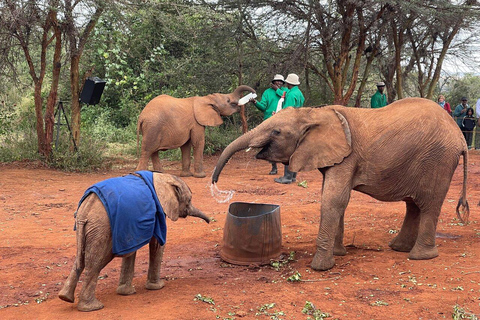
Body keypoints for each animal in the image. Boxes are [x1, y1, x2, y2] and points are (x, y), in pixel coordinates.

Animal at [58, 171, 208, 312]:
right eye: (189, 200)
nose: (209, 221)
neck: (161, 176)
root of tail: (86, 206)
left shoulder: (131, 224)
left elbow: (132, 249)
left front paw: (126, 293)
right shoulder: (158, 211)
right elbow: (157, 243)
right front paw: (158, 286)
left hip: (87, 226)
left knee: (81, 258)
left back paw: (65, 297)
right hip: (101, 227)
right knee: (95, 261)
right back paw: (93, 307)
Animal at [211, 97, 468, 270]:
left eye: (276, 132)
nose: (214, 183)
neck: (315, 113)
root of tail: (461, 137)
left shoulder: (348, 156)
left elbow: (334, 199)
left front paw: (320, 267)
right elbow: (335, 199)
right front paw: (338, 254)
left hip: (439, 159)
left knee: (428, 205)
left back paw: (420, 257)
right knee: (413, 205)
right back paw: (399, 248)